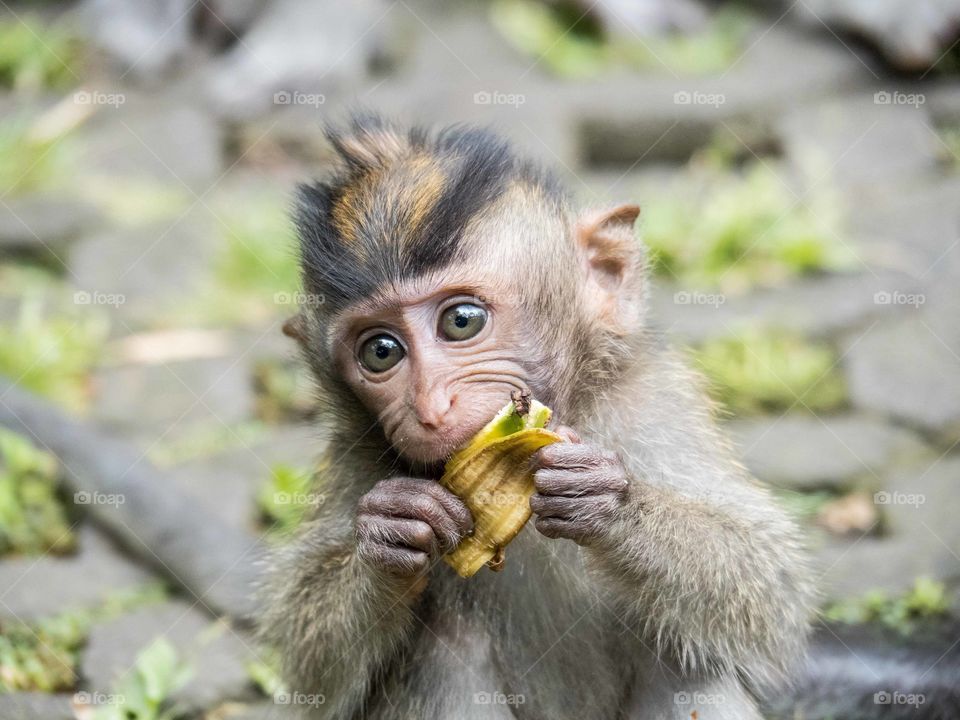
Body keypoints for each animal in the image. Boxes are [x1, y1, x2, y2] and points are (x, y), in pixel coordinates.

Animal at [259, 113, 815, 720]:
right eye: (380, 352)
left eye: (461, 321)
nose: (430, 407)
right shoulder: (354, 456)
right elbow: (314, 672)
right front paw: (390, 531)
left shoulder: (654, 403)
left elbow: (770, 580)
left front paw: (605, 501)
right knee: (444, 650)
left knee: (682, 662)